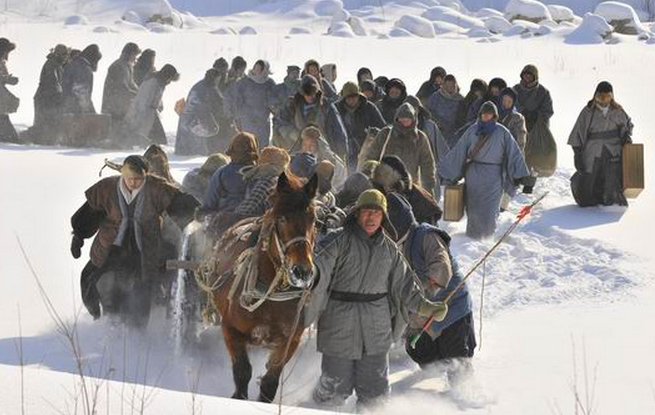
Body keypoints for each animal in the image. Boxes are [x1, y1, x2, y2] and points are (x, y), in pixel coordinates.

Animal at [205, 171, 318, 404]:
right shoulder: (231, 330)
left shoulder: (290, 339)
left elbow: (270, 381)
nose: (302, 271)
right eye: (281, 218)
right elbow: (242, 372)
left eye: (313, 219)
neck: (269, 296)